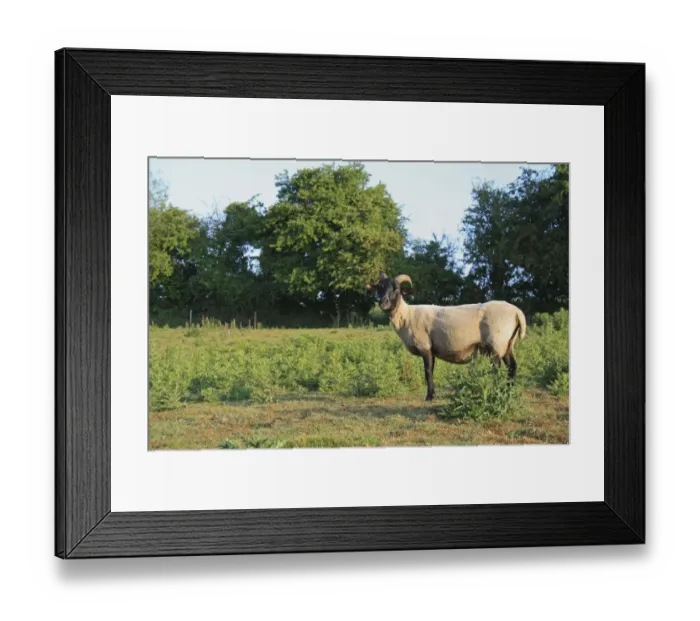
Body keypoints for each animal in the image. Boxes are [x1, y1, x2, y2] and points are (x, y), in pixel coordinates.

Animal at [367, 272, 526, 401]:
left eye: (396, 289)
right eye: (380, 288)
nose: (383, 303)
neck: (407, 316)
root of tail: (517, 312)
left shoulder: (425, 347)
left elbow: (427, 372)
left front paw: (429, 397)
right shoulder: (432, 350)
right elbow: (431, 371)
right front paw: (432, 394)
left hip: (496, 344)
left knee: (497, 370)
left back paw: (497, 391)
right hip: (507, 345)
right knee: (512, 367)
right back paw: (508, 391)